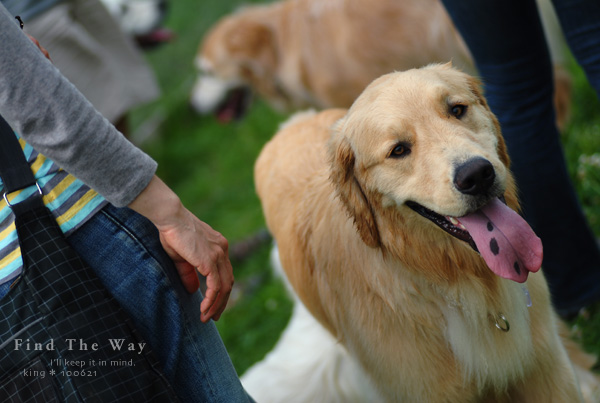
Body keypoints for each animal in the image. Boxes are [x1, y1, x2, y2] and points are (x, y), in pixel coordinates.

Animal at [247, 64, 596, 402]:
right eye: (399, 150)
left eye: (457, 110)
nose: (477, 175)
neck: (457, 277)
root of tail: (291, 124)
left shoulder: (544, 365)